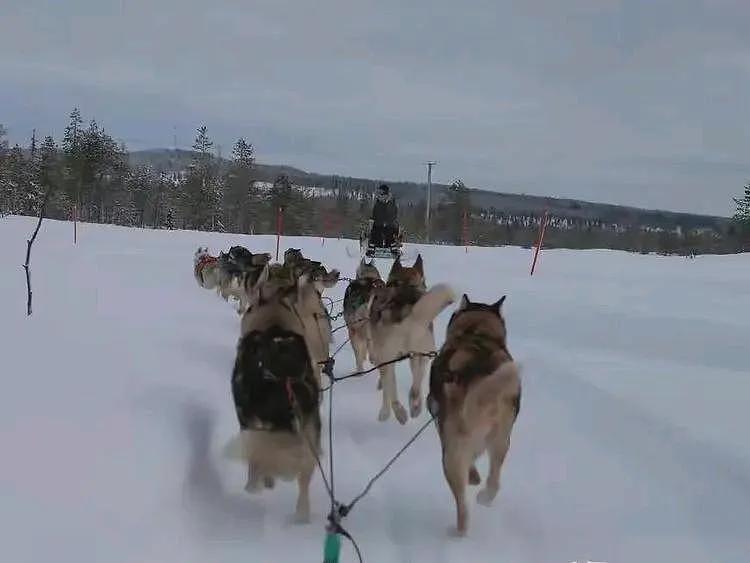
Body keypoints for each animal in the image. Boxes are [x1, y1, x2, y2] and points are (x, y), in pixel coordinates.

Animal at [226, 268, 326, 524]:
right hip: (309, 436)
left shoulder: (247, 421)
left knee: (258, 465)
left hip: (258, 428)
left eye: (249, 307)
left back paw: (255, 488)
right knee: (303, 483)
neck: (274, 325)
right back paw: (301, 517)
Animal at [368, 254, 456, 424]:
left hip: (390, 356)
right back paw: (415, 405)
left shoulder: (384, 358)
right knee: (416, 384)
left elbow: (388, 388)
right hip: (423, 354)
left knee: (392, 390)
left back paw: (396, 412)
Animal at [428, 296, 524, 536]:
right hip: (502, 439)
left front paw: (473, 476)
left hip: (451, 454)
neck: (477, 334)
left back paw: (457, 532)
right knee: (495, 479)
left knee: (462, 505)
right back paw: (485, 496)